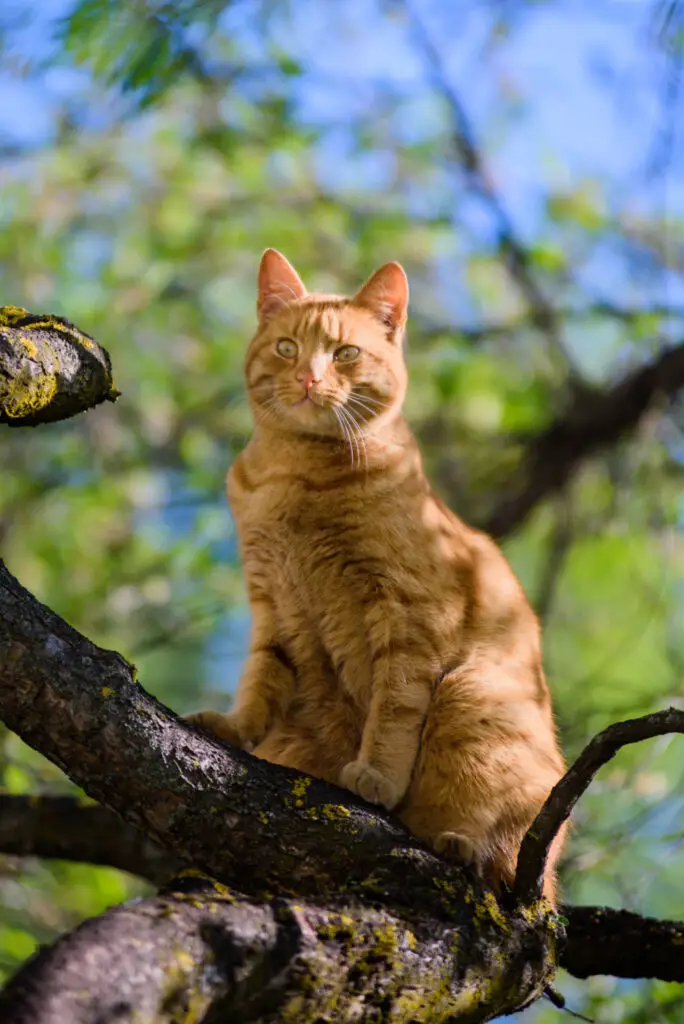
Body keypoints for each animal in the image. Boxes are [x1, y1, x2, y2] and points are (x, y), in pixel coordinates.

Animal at [188, 251, 565, 901]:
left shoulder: (409, 612)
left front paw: (378, 775)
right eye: (287, 348)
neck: (296, 474)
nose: (308, 379)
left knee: (508, 850)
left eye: (344, 353)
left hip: (473, 696)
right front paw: (234, 727)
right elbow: (261, 678)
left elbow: (395, 705)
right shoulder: (271, 604)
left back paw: (461, 844)